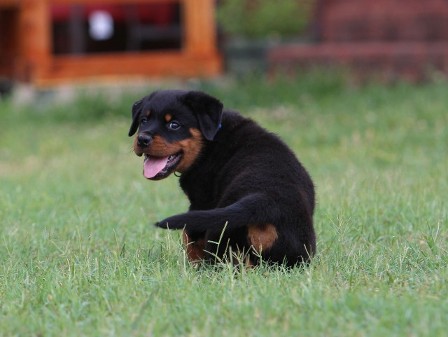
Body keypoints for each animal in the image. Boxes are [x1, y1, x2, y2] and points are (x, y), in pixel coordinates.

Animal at [128, 90, 316, 268]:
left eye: (174, 125)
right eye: (144, 120)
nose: (142, 139)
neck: (209, 142)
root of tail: (266, 200)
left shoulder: (201, 201)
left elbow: (189, 236)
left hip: (220, 227)